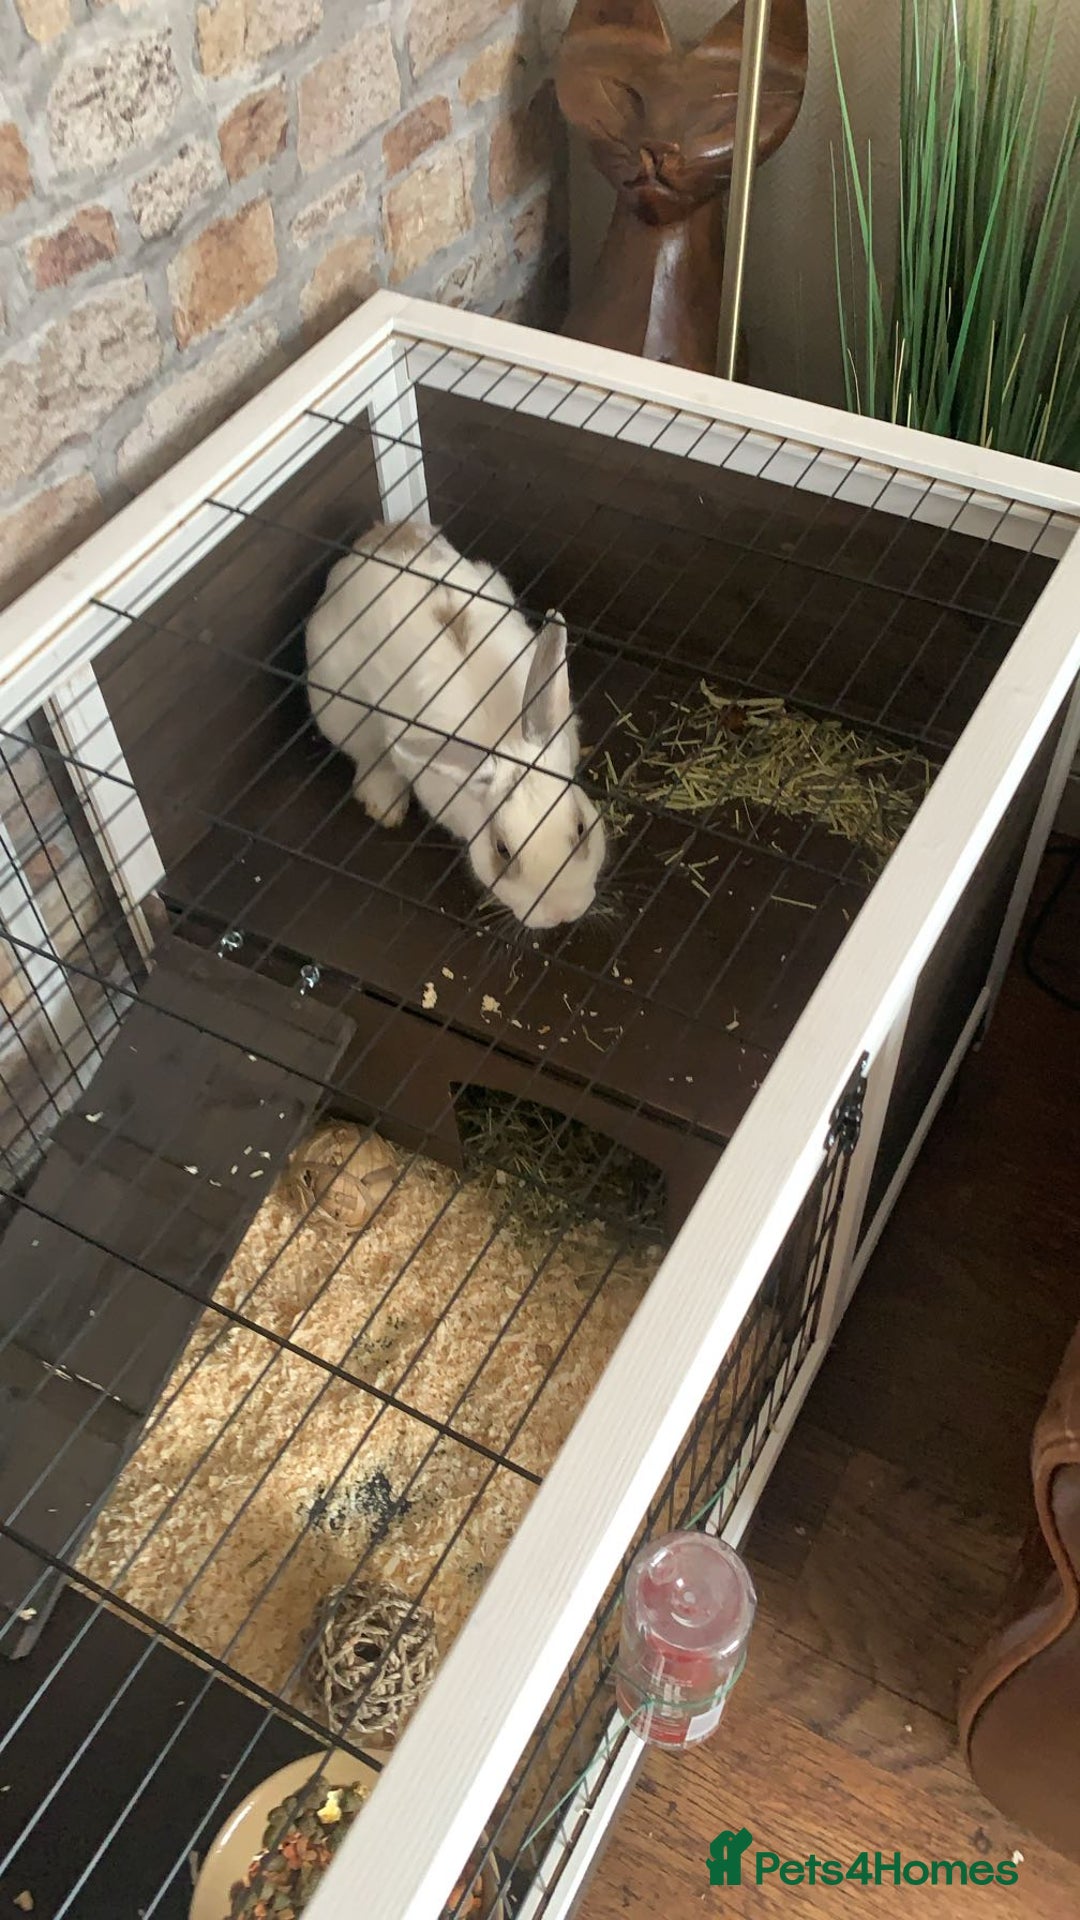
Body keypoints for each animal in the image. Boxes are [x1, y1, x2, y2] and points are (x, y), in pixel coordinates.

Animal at [304, 518, 606, 932]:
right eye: (501, 850)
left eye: (579, 829)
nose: (564, 913)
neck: (503, 742)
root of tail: (381, 536)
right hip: (337, 702)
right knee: (369, 757)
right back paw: (385, 805)